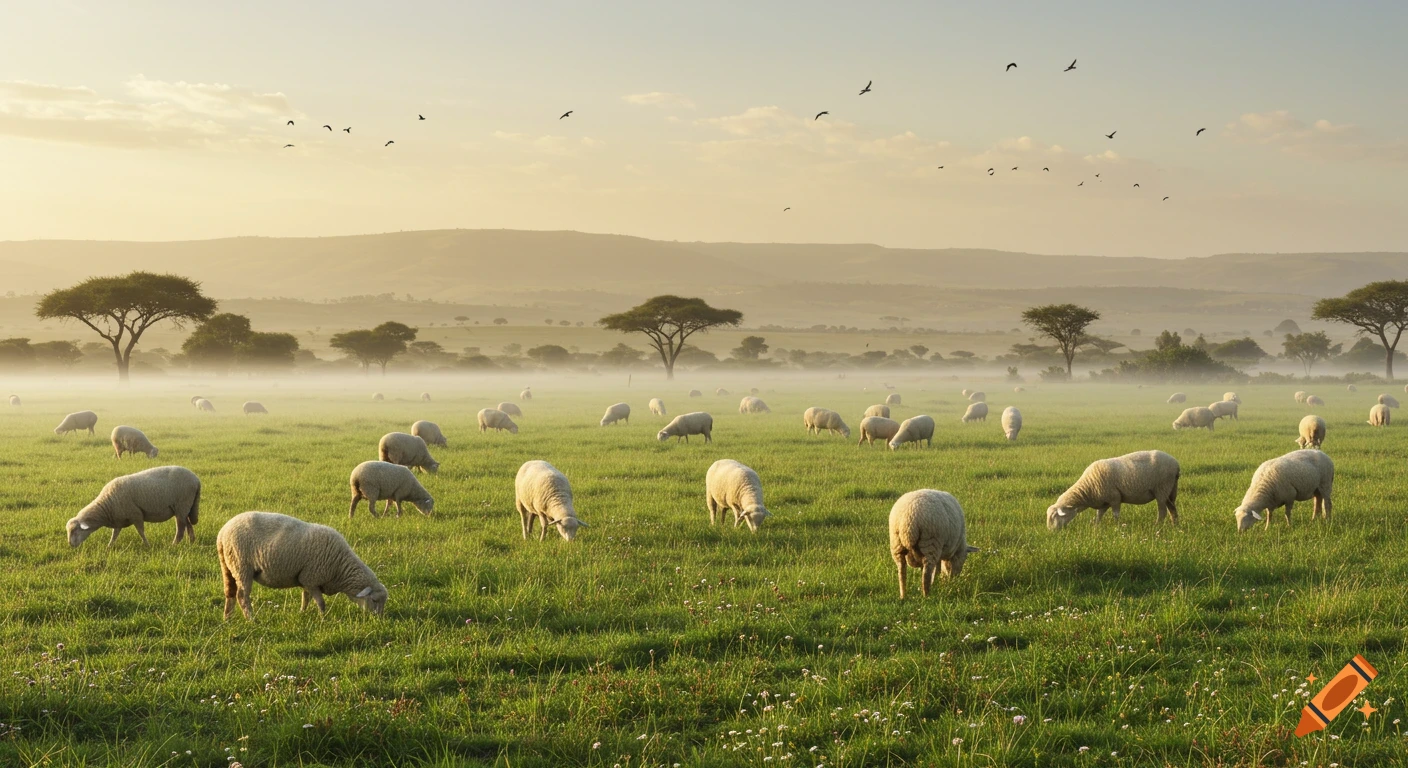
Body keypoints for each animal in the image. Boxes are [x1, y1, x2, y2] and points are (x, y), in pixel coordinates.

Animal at [66, 465, 201, 547]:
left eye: (75, 531)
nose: (70, 545)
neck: (106, 505)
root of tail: (196, 479)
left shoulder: (136, 514)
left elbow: (141, 531)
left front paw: (147, 545)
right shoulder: (118, 519)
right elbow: (115, 534)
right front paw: (109, 546)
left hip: (181, 505)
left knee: (181, 528)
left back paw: (174, 545)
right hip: (185, 507)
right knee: (188, 523)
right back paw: (191, 541)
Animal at [216, 511, 387, 619]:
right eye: (374, 600)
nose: (378, 620)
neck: (340, 567)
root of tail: (222, 533)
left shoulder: (306, 578)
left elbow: (306, 598)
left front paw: (302, 613)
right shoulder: (312, 579)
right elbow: (321, 602)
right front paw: (323, 618)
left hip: (228, 565)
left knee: (230, 593)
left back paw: (228, 619)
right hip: (242, 566)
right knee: (242, 596)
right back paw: (251, 619)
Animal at [1046, 450, 1180, 530]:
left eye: (1054, 517)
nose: (1051, 532)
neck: (1088, 487)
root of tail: (1176, 464)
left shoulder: (1115, 497)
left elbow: (1115, 515)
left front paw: (1117, 527)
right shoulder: (1104, 502)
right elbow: (1099, 515)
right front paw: (1096, 527)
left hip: (1161, 488)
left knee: (1162, 511)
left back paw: (1157, 525)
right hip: (1170, 490)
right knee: (1172, 508)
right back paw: (1175, 525)